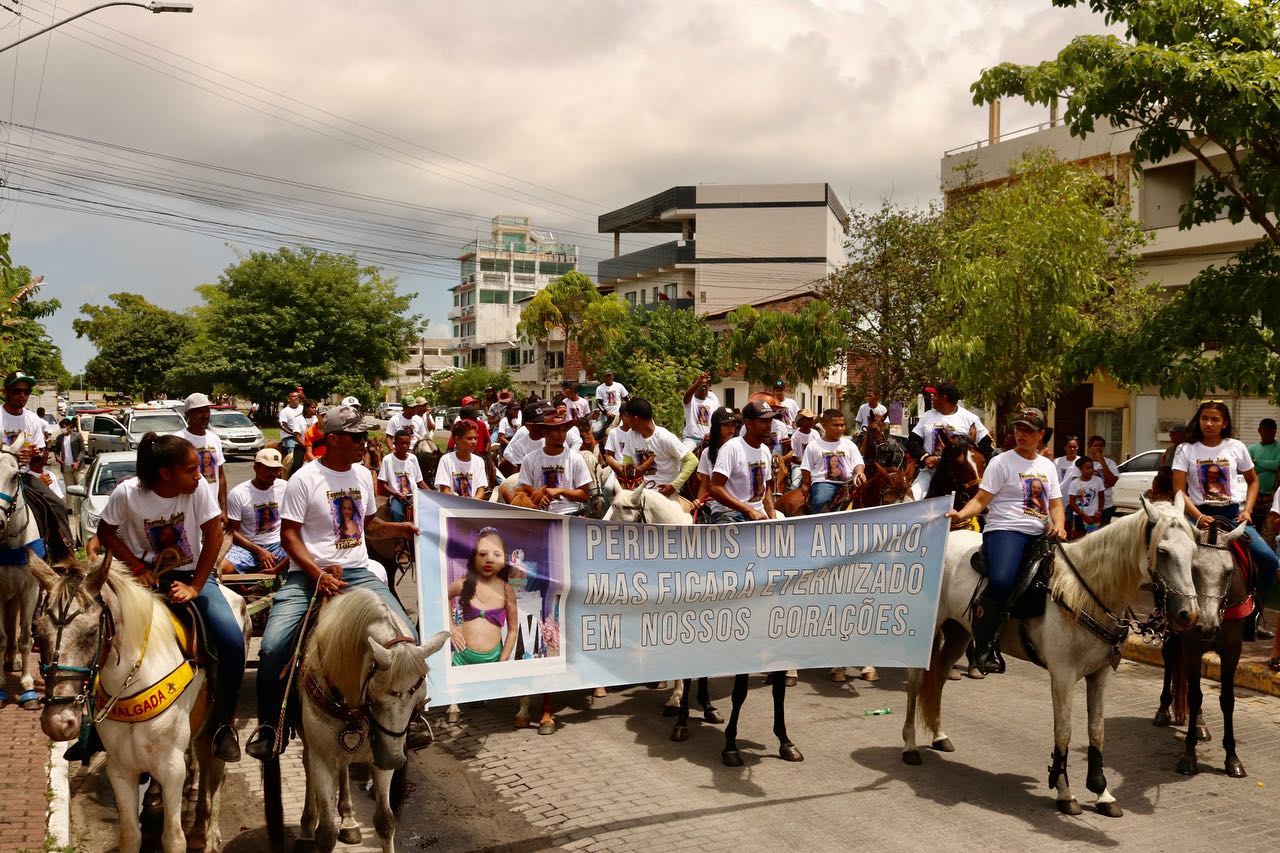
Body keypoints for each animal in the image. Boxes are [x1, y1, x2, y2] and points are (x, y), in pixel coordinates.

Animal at [29, 548, 247, 845]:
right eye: (39, 633)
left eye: (91, 633)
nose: (58, 723)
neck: (133, 681)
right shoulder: (119, 768)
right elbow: (130, 835)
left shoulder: (172, 768)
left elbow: (173, 838)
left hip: (220, 719)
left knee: (216, 771)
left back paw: (209, 833)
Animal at [293, 584, 448, 850]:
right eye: (375, 695)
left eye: (419, 700)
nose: (394, 760)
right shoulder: (321, 755)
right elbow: (326, 832)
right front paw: (317, 828)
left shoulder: (382, 753)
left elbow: (385, 821)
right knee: (307, 765)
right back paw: (307, 826)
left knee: (344, 767)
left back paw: (349, 821)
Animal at [901, 494, 1198, 814]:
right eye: (1163, 551)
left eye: (1194, 550)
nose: (1188, 614)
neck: (1085, 594)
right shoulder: (1063, 676)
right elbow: (1064, 731)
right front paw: (1065, 792)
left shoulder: (1101, 674)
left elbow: (1097, 730)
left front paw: (1102, 791)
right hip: (928, 630)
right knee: (916, 683)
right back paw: (910, 746)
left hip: (960, 631)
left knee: (940, 678)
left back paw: (939, 735)